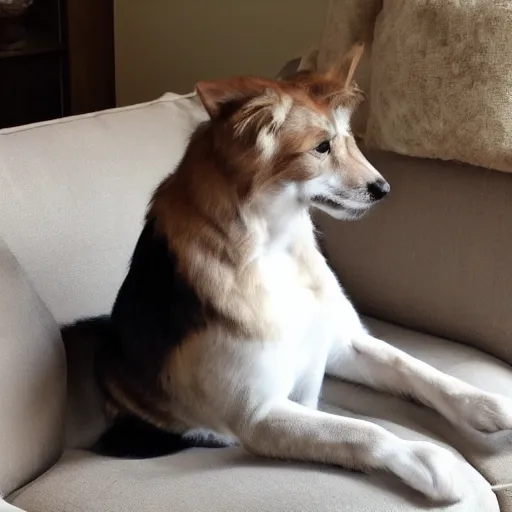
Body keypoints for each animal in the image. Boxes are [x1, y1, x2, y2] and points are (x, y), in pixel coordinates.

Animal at [65, 46, 512, 502]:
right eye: (321, 148)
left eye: (349, 140)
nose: (383, 189)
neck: (274, 249)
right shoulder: (260, 416)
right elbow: (361, 432)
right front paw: (429, 461)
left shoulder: (342, 344)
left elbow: (412, 366)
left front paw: (485, 403)